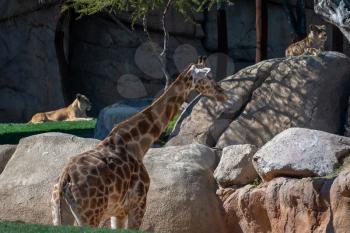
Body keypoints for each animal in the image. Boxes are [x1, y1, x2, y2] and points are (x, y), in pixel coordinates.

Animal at [50, 56, 228, 229]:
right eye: (209, 77)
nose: (223, 93)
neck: (137, 144)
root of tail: (64, 180)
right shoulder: (139, 203)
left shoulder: (119, 212)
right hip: (90, 214)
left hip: (60, 214)